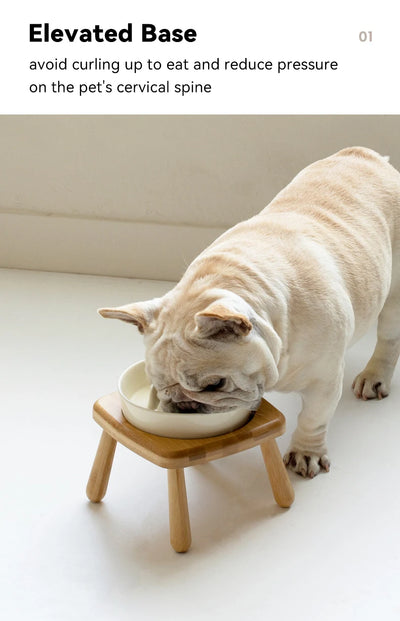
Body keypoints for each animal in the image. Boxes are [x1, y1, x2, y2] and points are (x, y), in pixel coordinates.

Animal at [98, 148, 400, 478]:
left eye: (214, 385)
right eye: (158, 385)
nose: (183, 406)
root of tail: (367, 156)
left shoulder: (324, 380)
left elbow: (313, 417)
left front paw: (306, 453)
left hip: (393, 296)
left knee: (388, 338)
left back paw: (374, 377)